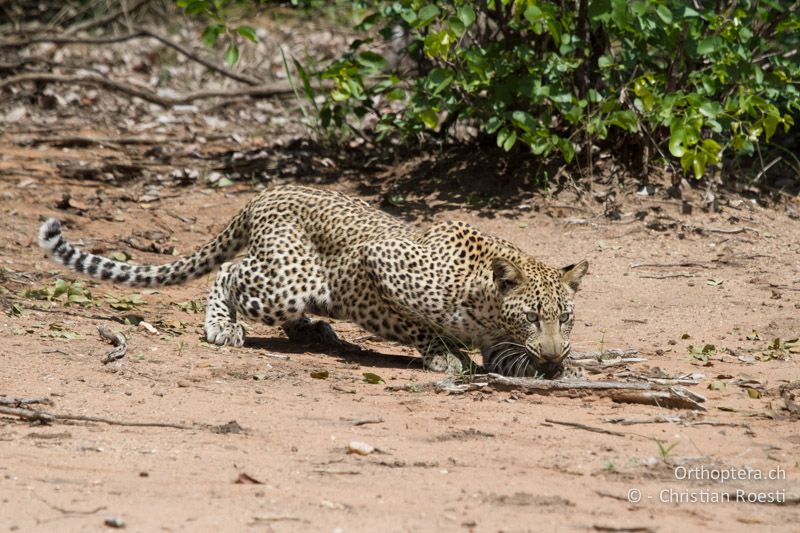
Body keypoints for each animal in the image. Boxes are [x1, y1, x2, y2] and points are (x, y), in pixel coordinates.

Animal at [37, 185, 588, 376]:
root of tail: (266, 193)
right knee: (228, 272)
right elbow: (418, 324)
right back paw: (223, 327)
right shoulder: (383, 261)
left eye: (564, 318)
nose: (556, 352)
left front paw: (557, 367)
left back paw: (315, 332)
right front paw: (445, 355)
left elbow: (506, 356)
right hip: (287, 283)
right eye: (532, 316)